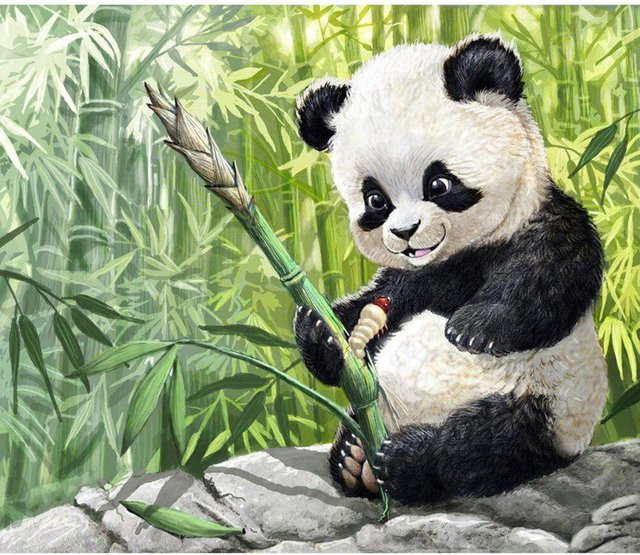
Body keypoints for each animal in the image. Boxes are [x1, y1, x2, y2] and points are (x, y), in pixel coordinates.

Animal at [292, 35, 608, 505]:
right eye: (375, 200)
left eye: (438, 183)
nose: (405, 233)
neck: (458, 255)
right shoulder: (408, 281)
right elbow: (372, 313)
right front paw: (319, 329)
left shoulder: (541, 222)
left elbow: (551, 276)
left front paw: (473, 329)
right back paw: (354, 462)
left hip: (550, 406)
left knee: (483, 445)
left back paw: (404, 460)